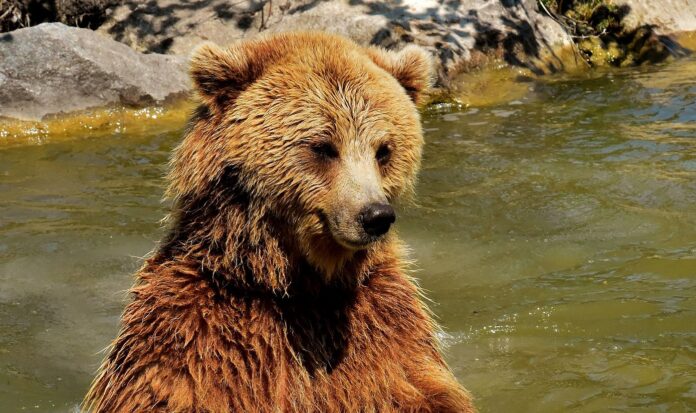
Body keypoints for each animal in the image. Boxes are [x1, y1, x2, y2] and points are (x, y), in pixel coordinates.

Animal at [81, 32, 474, 412]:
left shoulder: (384, 325)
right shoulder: (200, 332)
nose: (375, 215)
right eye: (323, 146)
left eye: (384, 150)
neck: (300, 285)